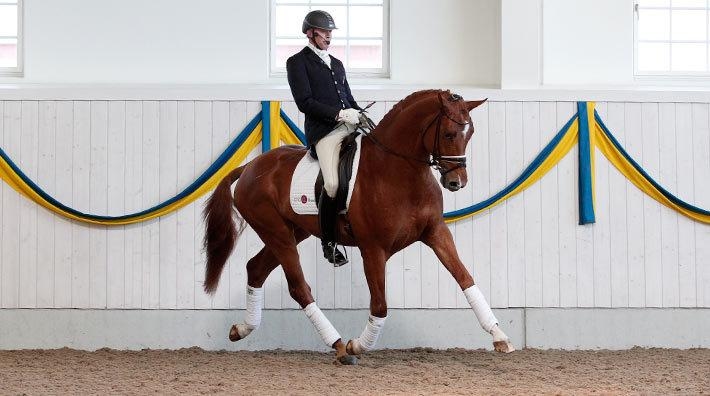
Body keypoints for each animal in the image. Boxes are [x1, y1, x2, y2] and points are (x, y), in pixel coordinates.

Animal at [203, 90, 516, 366]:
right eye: (449, 134)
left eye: (470, 134)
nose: (456, 183)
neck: (399, 171)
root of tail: (250, 167)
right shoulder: (373, 249)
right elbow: (380, 305)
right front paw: (358, 345)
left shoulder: (436, 233)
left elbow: (466, 279)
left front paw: (499, 336)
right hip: (277, 233)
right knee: (298, 287)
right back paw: (339, 346)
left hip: (294, 231)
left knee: (256, 268)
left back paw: (241, 329)